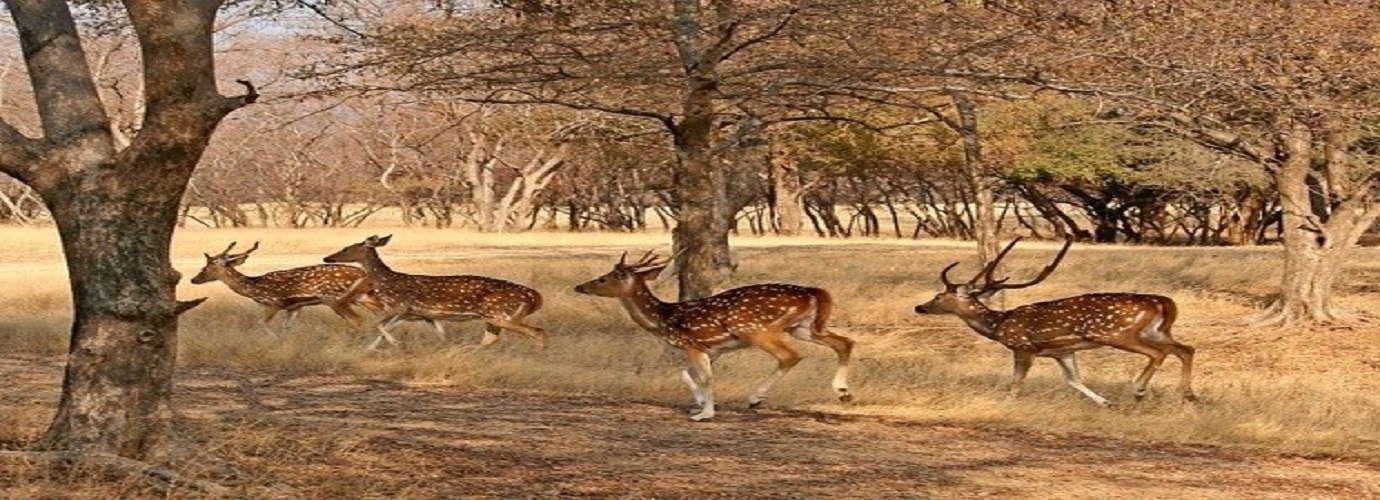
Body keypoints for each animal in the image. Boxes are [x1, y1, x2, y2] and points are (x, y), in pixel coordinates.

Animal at [190, 241, 383, 338]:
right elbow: (286, 328)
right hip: (362, 297)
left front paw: (273, 341)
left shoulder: (273, 303)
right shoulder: (294, 307)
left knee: (357, 320)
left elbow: (262, 323)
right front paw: (282, 343)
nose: (194, 279)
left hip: (334, 299)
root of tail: (365, 275)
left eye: (205, 268)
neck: (253, 289)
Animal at [321, 233, 543, 348]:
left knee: (537, 331)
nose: (327, 258)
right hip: (494, 319)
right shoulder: (422, 314)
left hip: (501, 315)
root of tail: (534, 296)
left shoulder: (398, 306)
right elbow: (440, 333)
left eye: (346, 248)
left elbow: (376, 324)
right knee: (489, 340)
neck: (385, 282)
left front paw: (394, 342)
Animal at [571, 250, 850, 422]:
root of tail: (813, 291)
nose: (579, 286)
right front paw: (699, 404)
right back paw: (844, 392)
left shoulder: (690, 344)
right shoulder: (711, 349)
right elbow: (689, 374)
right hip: (804, 327)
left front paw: (704, 414)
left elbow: (704, 377)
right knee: (845, 342)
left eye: (603, 278)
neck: (663, 321)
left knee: (790, 356)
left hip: (757, 330)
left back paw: (755, 398)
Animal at [910, 238, 1192, 406]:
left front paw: (1009, 401)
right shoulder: (1063, 352)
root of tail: (1163, 302)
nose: (919, 307)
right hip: (1158, 331)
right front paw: (1105, 403)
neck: (999, 325)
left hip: (1117, 333)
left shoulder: (1023, 347)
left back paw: (1139, 390)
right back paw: (1188, 395)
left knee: (1158, 353)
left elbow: (1016, 382)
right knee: (1185, 349)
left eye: (938, 296)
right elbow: (1074, 380)